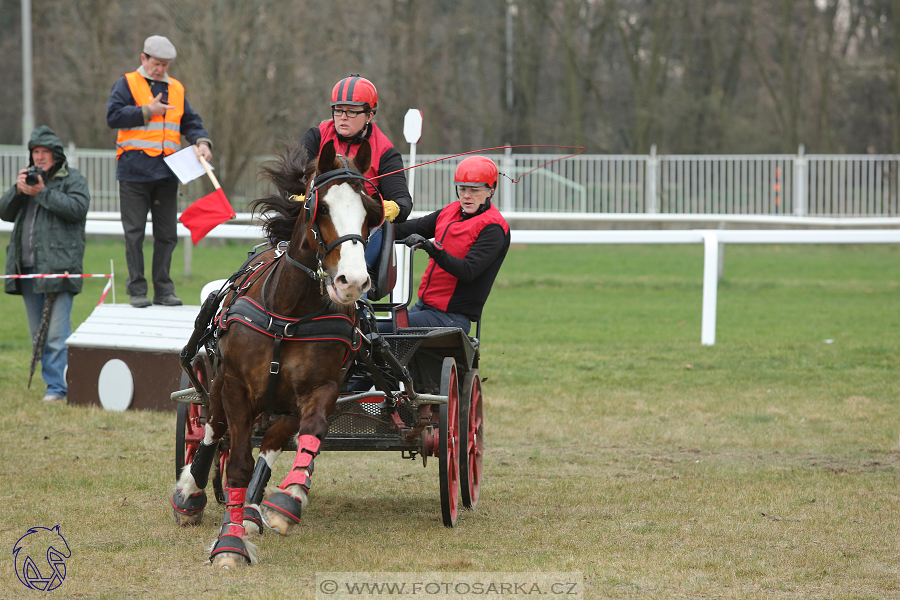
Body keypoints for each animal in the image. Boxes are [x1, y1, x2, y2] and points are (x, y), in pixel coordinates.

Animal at [171, 139, 384, 568]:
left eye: (370, 212)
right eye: (321, 208)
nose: (352, 281)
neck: (290, 313)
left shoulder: (322, 389)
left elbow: (311, 434)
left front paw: (288, 501)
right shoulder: (235, 387)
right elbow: (235, 463)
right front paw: (229, 544)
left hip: (281, 407)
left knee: (269, 443)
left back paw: (253, 510)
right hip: (217, 383)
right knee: (212, 430)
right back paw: (191, 492)